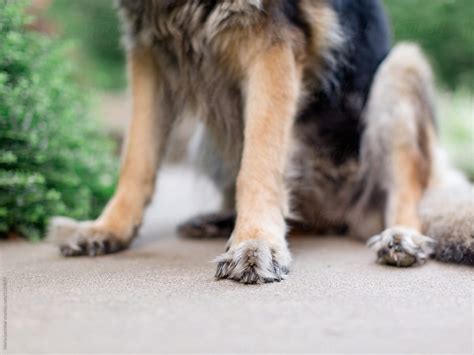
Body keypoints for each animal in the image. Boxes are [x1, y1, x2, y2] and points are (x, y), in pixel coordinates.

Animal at [49, 0, 474, 284]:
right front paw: (109, 228)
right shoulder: (149, 53)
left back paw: (403, 235)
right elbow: (136, 156)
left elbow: (259, 160)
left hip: (401, 65)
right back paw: (216, 221)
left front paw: (255, 241)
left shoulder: (270, 41)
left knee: (408, 185)